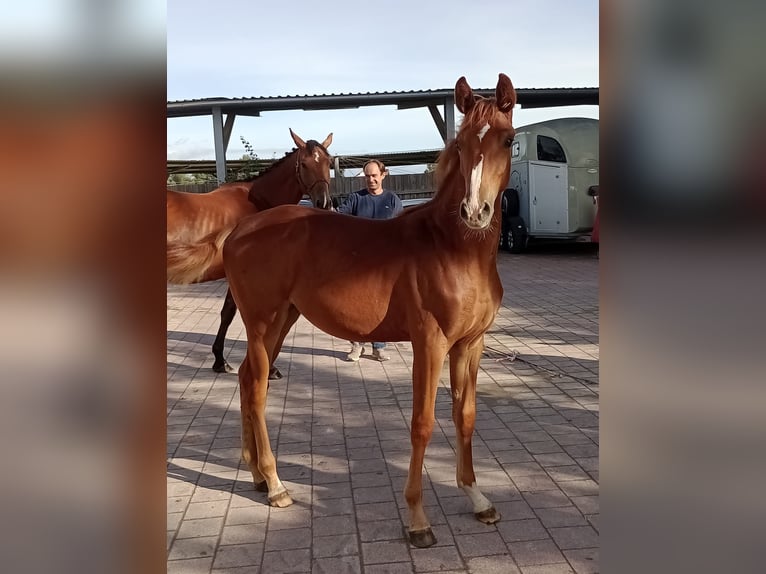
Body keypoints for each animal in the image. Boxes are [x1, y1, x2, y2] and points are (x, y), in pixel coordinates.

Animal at [222, 74, 520, 552]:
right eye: (460, 145)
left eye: (508, 140)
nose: (475, 212)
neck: (455, 248)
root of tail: (240, 230)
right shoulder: (429, 343)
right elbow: (422, 422)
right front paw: (417, 520)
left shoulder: (470, 344)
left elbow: (466, 415)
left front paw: (477, 498)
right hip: (261, 321)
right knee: (256, 387)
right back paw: (276, 485)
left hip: (282, 321)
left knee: (248, 378)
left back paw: (257, 476)